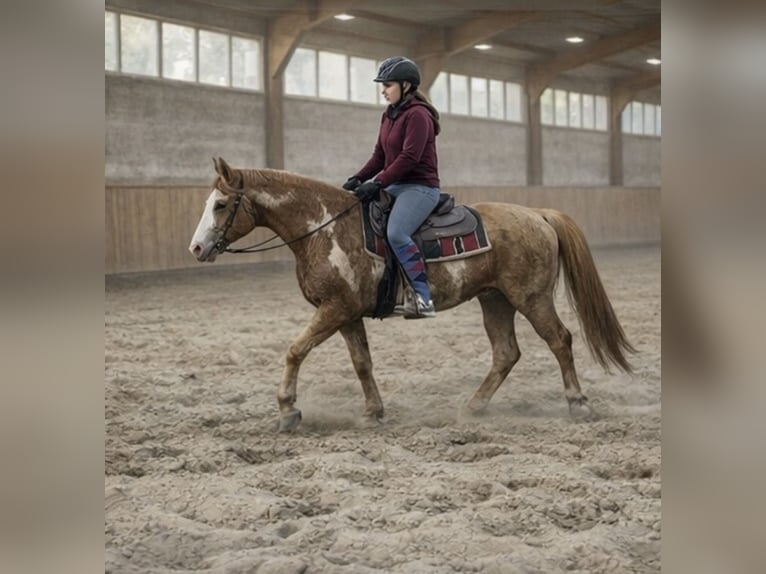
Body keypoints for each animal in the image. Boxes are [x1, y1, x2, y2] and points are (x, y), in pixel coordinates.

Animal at [189, 157, 635, 432]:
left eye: (222, 204)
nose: (196, 248)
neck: (324, 228)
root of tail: (539, 214)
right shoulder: (347, 313)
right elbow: (362, 363)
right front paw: (373, 413)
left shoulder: (334, 309)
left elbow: (295, 350)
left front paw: (287, 410)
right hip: (495, 300)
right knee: (506, 353)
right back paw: (473, 408)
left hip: (532, 298)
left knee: (560, 340)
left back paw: (578, 404)